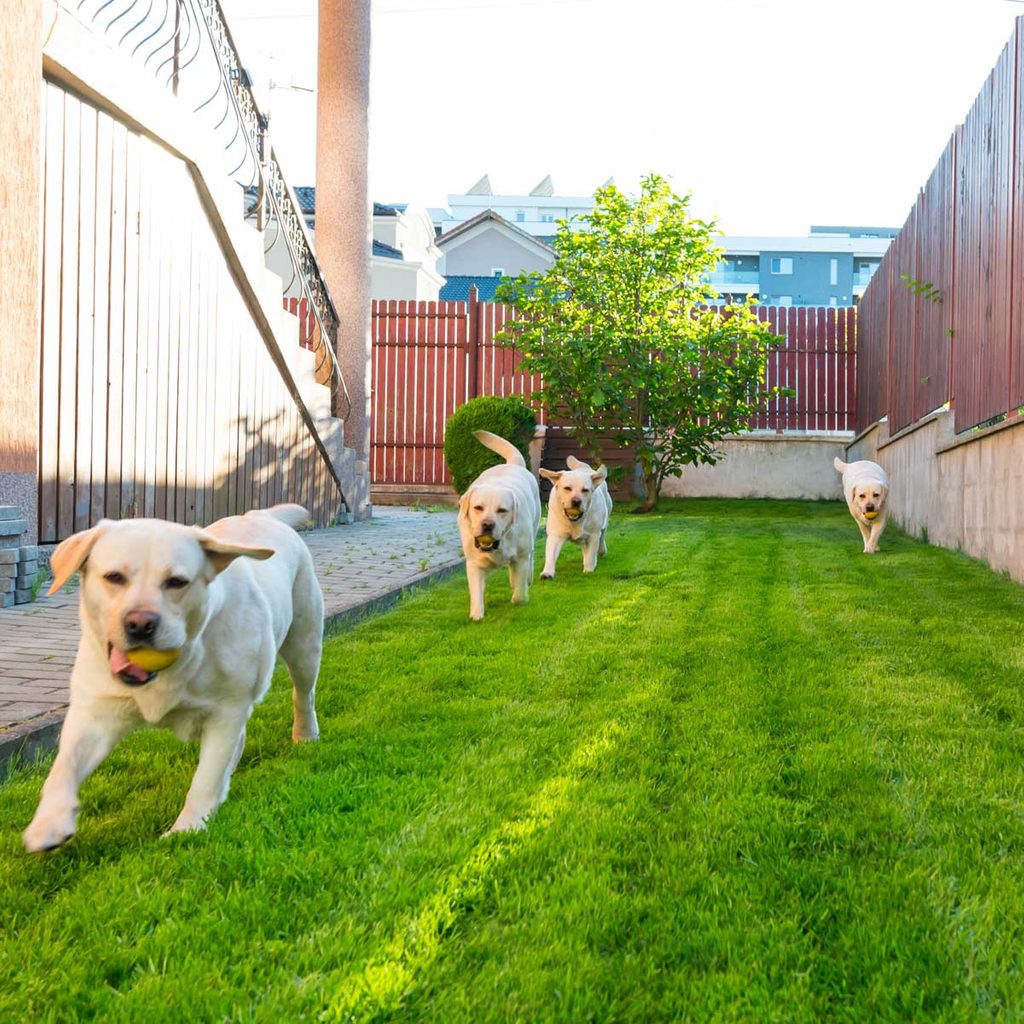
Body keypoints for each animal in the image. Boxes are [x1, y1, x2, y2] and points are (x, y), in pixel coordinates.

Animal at [24, 499, 321, 851]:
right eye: (114, 577)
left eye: (177, 582)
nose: (140, 623)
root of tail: (259, 515)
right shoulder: (95, 712)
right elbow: (64, 767)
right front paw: (49, 824)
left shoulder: (227, 712)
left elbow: (205, 778)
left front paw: (187, 828)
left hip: (304, 644)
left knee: (303, 694)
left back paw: (305, 735)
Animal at [458, 428, 544, 618]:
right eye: (478, 507)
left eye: (502, 510)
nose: (487, 524)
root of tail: (513, 464)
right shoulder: (474, 563)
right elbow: (476, 592)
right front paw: (476, 615)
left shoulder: (521, 556)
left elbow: (519, 595)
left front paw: (518, 597)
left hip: (533, 531)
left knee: (529, 559)